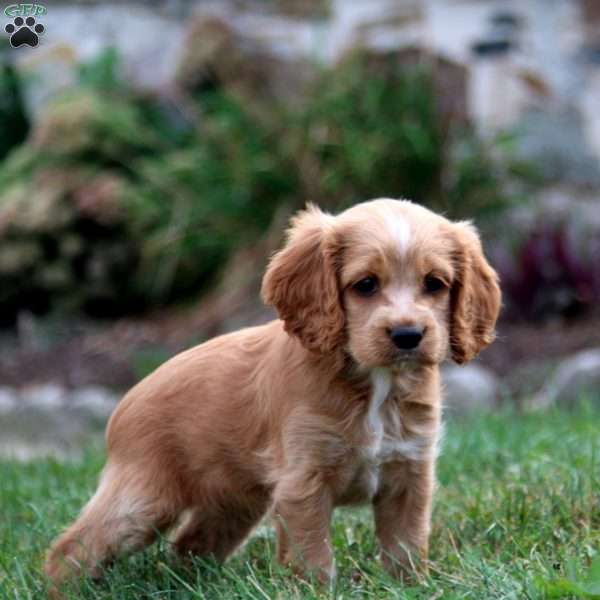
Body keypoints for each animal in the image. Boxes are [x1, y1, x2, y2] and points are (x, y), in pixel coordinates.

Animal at [44, 199, 500, 588]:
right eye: (366, 285)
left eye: (435, 284)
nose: (408, 335)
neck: (374, 384)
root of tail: (125, 401)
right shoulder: (303, 484)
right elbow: (313, 557)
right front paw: (317, 591)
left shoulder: (408, 475)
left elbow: (406, 547)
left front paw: (408, 588)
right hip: (143, 502)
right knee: (70, 550)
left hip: (233, 501)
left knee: (191, 543)